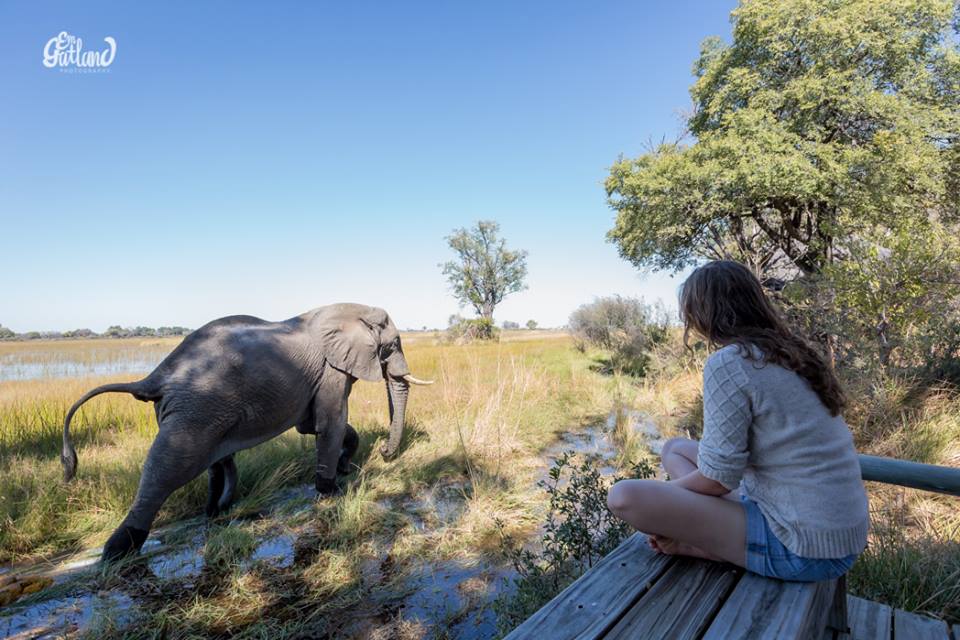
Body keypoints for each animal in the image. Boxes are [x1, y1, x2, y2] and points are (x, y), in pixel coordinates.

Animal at [60, 304, 432, 560]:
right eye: (392, 345)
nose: (385, 452)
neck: (346, 310)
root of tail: (155, 376)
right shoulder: (331, 369)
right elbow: (330, 422)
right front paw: (332, 490)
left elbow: (312, 425)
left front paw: (343, 468)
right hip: (196, 409)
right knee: (169, 465)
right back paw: (118, 551)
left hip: (197, 412)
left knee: (215, 462)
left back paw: (216, 511)